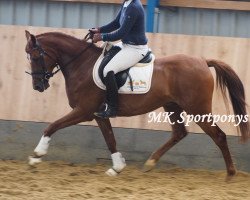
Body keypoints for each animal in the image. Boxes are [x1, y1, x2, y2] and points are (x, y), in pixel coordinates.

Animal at [24, 30, 248, 177]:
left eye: (35, 56)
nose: (38, 86)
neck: (82, 65)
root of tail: (203, 61)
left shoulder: (84, 111)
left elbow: (52, 126)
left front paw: (36, 155)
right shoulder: (98, 114)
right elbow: (110, 139)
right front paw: (117, 168)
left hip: (197, 108)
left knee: (218, 135)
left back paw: (230, 173)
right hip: (172, 106)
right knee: (179, 133)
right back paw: (150, 163)